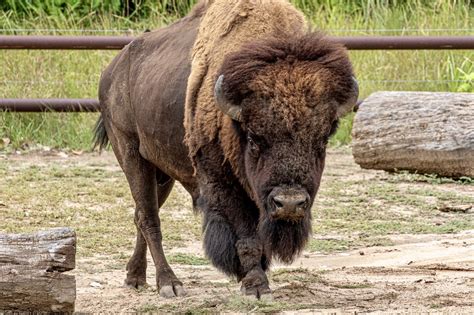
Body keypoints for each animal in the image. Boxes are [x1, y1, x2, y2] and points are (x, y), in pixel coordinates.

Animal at [94, 0, 358, 300]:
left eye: (322, 140)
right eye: (254, 139)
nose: (289, 203)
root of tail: (111, 71)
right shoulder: (224, 182)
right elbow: (247, 237)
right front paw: (256, 285)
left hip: (162, 172)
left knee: (140, 215)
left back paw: (135, 277)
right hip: (131, 155)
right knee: (150, 219)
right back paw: (169, 284)